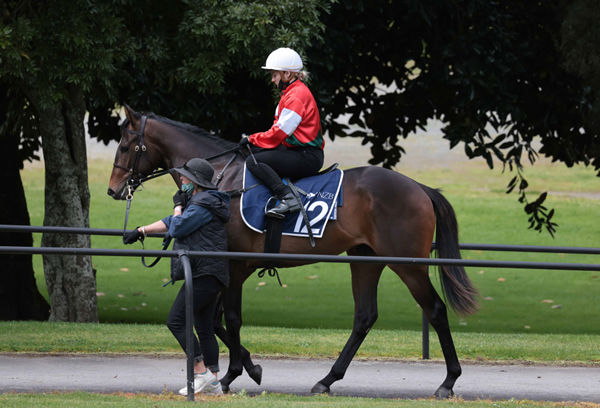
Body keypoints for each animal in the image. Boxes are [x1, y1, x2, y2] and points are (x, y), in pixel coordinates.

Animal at [106, 105, 478, 398]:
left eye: (125, 145)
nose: (113, 190)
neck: (223, 181)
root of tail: (419, 187)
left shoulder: (235, 266)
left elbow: (230, 319)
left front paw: (231, 375)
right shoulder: (229, 269)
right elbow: (215, 321)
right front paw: (249, 367)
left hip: (408, 264)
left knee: (435, 309)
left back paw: (448, 381)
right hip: (366, 260)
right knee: (364, 316)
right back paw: (327, 380)